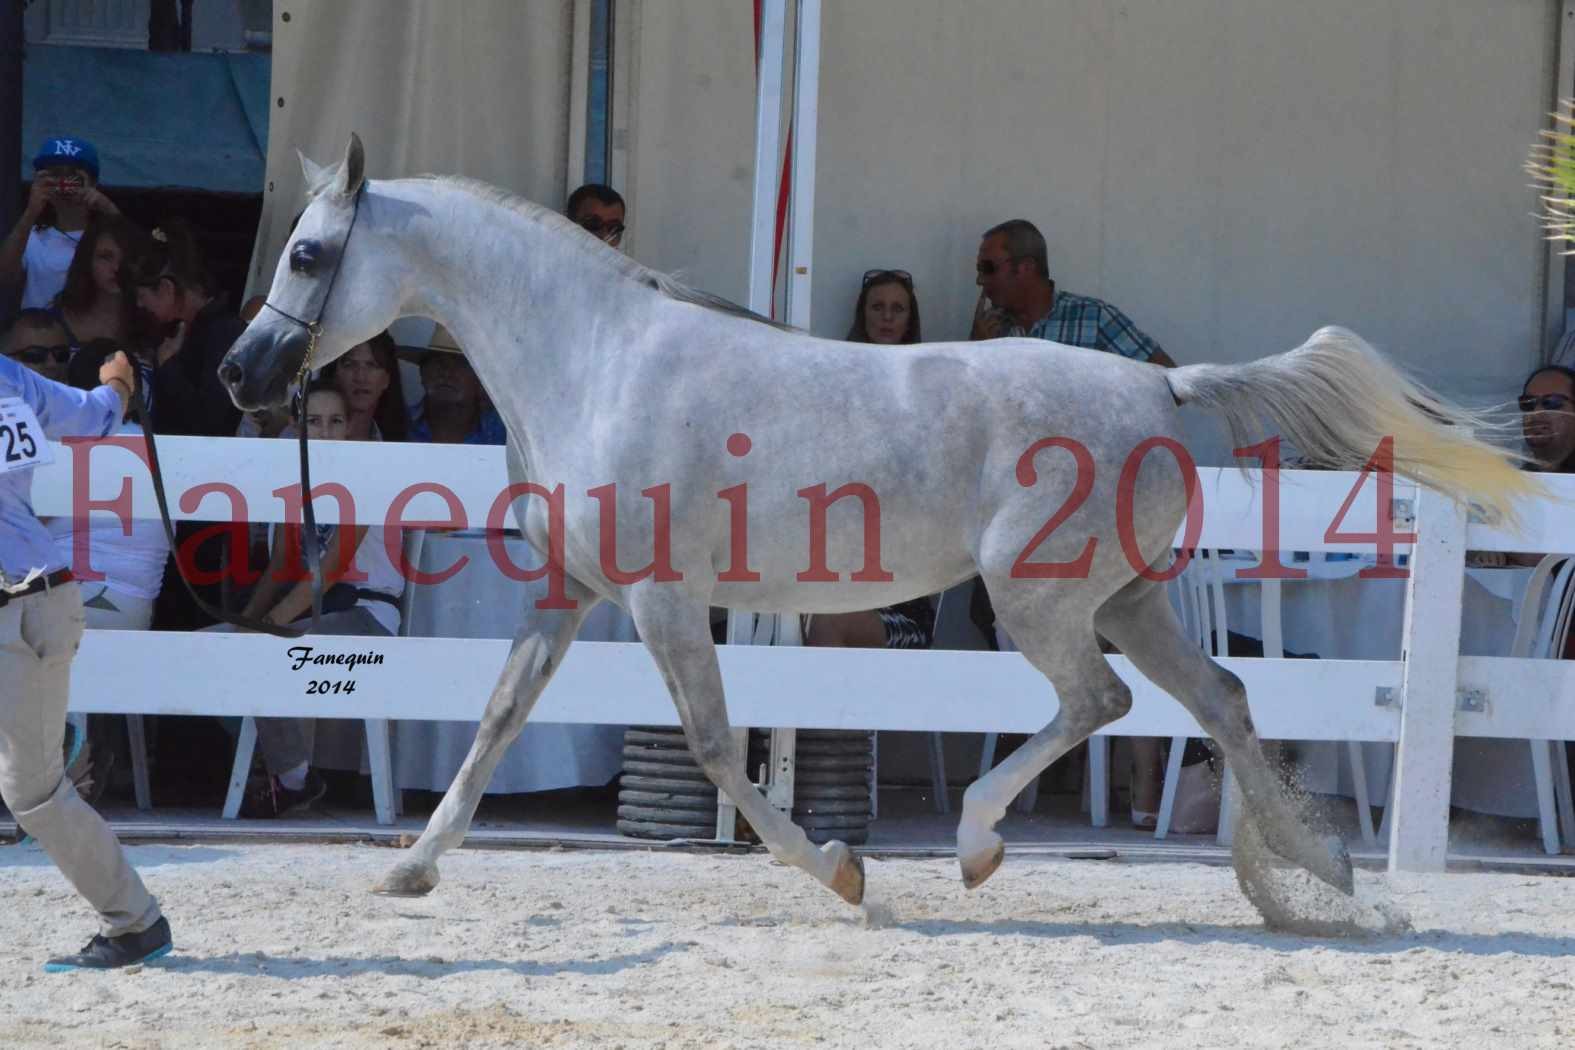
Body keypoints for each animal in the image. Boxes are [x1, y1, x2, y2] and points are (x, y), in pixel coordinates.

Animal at [222, 139, 1537, 919]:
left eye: (309, 252)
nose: (240, 376)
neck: (598, 361)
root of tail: (1163, 384)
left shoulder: (661, 600)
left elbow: (714, 745)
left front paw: (844, 872)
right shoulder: (572, 593)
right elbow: (497, 719)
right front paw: (409, 866)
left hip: (1041, 602)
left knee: (1101, 704)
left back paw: (977, 842)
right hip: (1128, 599)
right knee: (1220, 697)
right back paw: (1328, 880)